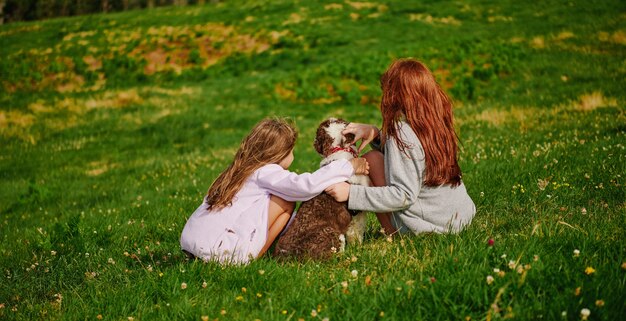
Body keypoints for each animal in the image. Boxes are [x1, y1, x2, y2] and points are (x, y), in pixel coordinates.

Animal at [272, 117, 370, 260]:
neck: (338, 150)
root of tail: (288, 256)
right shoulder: (358, 214)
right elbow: (356, 234)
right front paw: (358, 248)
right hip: (334, 236)